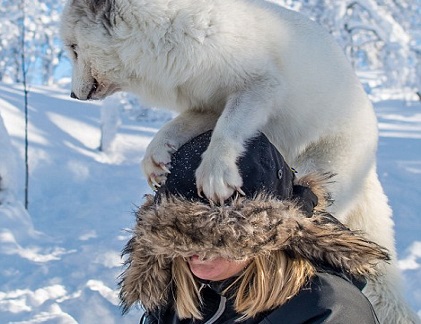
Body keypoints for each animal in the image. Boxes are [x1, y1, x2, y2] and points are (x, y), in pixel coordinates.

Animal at [60, 0, 418, 322]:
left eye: (74, 49)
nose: (73, 96)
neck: (169, 40)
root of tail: (369, 171)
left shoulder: (258, 85)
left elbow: (229, 128)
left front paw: (215, 171)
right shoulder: (206, 103)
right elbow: (175, 126)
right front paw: (155, 156)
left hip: (322, 172)